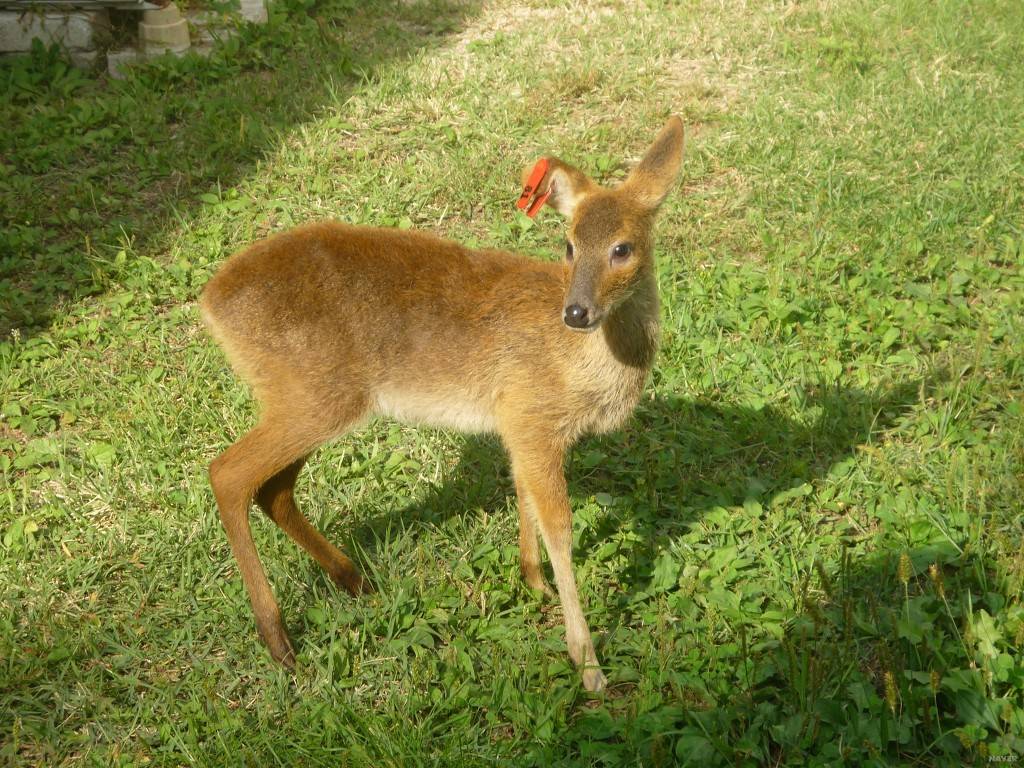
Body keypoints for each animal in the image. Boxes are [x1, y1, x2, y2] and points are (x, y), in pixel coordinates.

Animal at [199, 117, 684, 696]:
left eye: (623, 247)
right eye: (568, 245)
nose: (576, 311)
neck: (582, 362)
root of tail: (211, 301)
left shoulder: (517, 425)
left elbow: (524, 498)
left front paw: (533, 584)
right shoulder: (532, 417)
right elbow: (560, 530)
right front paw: (588, 665)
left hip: (304, 399)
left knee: (271, 489)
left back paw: (354, 580)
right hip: (313, 396)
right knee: (228, 473)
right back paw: (279, 641)